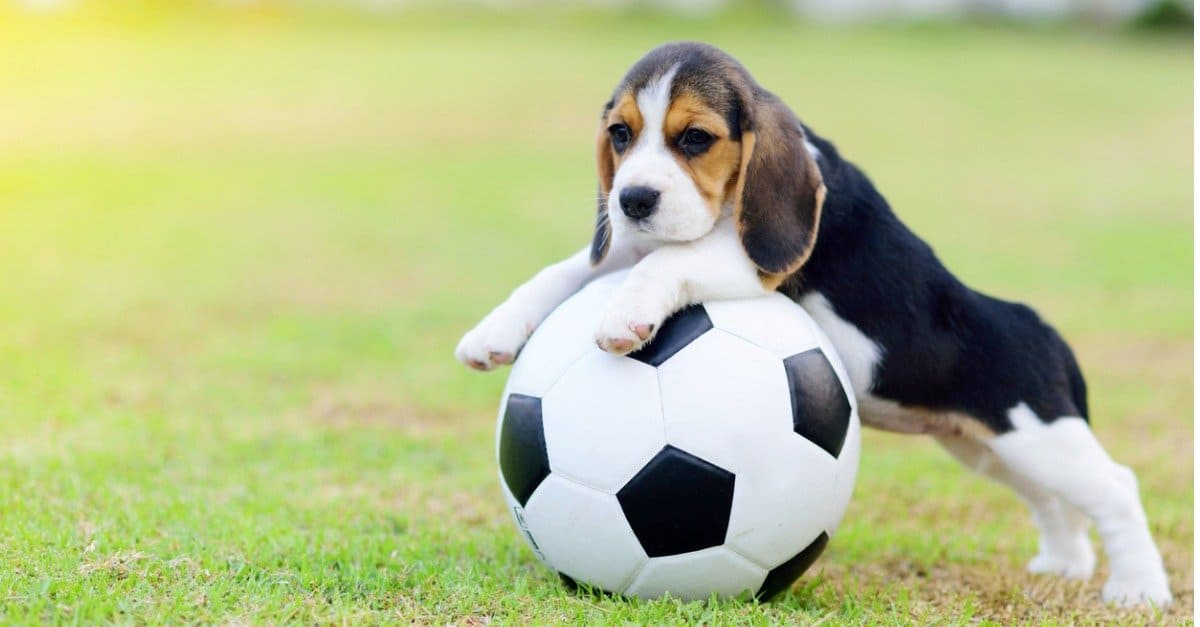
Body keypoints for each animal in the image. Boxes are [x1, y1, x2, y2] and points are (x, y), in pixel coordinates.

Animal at [456, 40, 1171, 605]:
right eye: (621, 135)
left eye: (695, 138)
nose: (631, 199)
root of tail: (1045, 331)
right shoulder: (638, 241)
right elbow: (566, 270)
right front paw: (495, 330)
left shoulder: (750, 259)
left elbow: (669, 262)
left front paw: (626, 314)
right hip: (990, 447)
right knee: (1053, 501)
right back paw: (1065, 563)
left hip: (1038, 435)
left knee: (1114, 487)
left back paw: (1137, 588)